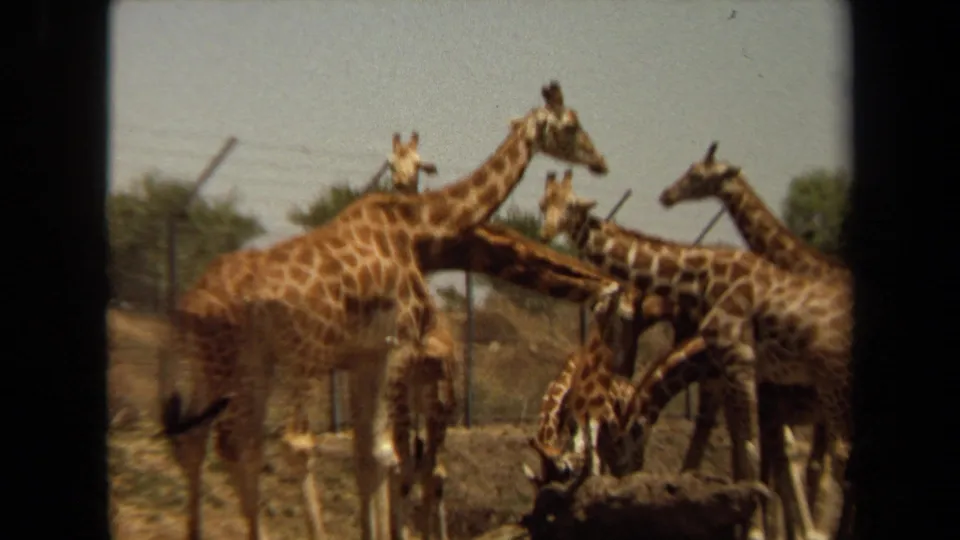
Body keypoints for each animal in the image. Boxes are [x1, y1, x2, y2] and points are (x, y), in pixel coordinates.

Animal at [157, 78, 614, 540]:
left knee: (212, 442)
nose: (600, 162)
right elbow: (390, 455)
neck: (416, 226)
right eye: (571, 125)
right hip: (295, 360)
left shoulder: (366, 355)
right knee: (286, 443)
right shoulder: (398, 345)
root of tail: (190, 303)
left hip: (233, 366)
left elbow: (369, 455)